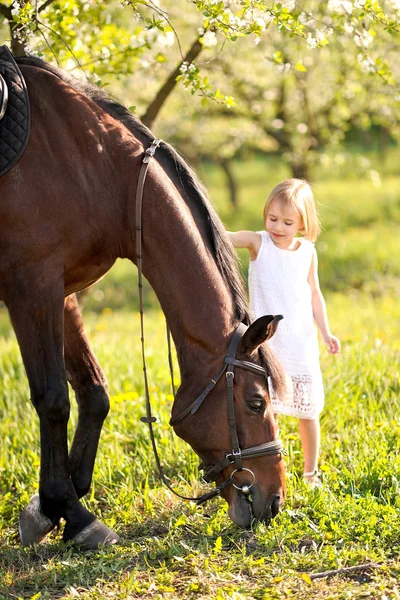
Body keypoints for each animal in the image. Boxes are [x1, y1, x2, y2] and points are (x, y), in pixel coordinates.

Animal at [0, 56, 288, 548]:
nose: (275, 501)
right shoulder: (32, 286)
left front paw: (53, 502)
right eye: (255, 403)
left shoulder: (63, 291)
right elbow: (53, 399)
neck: (94, 166)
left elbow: (93, 391)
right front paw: (73, 512)